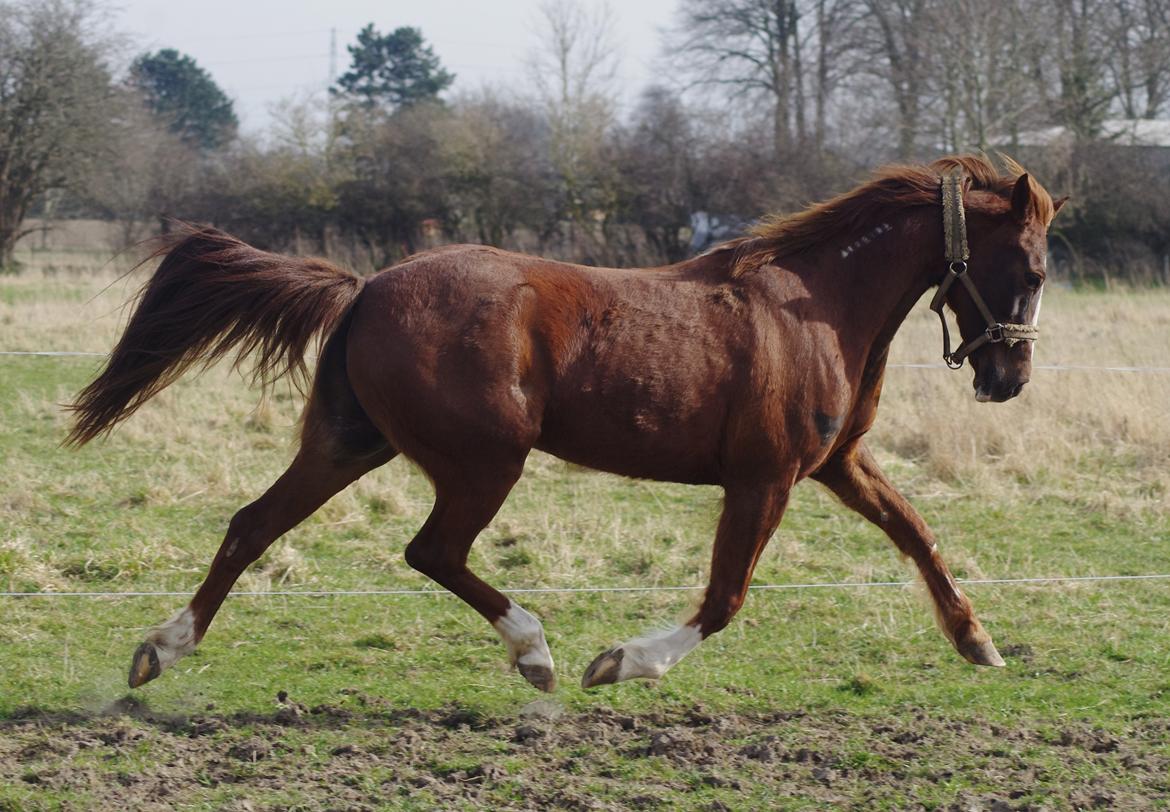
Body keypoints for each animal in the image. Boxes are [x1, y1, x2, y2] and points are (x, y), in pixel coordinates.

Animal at [68, 154, 1067, 692]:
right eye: (1034, 267)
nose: (1009, 377)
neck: (816, 305)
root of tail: (367, 287)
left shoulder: (838, 463)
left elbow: (918, 534)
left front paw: (978, 642)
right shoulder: (766, 477)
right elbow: (726, 597)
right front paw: (621, 663)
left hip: (352, 442)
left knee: (252, 526)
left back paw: (160, 650)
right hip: (484, 461)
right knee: (430, 551)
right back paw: (537, 653)